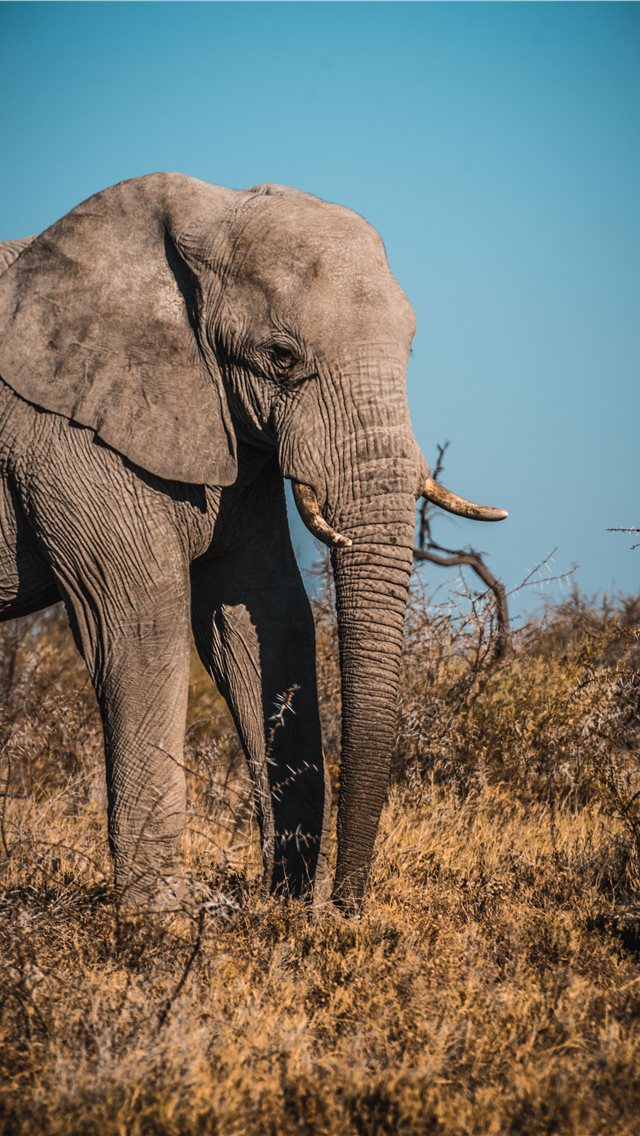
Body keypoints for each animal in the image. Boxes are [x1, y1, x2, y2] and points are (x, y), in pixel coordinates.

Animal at [0, 170, 506, 913]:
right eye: (281, 358)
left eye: (411, 348)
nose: (344, 908)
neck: (204, 216)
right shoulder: (68, 433)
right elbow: (140, 622)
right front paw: (160, 916)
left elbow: (264, 611)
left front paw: (282, 905)